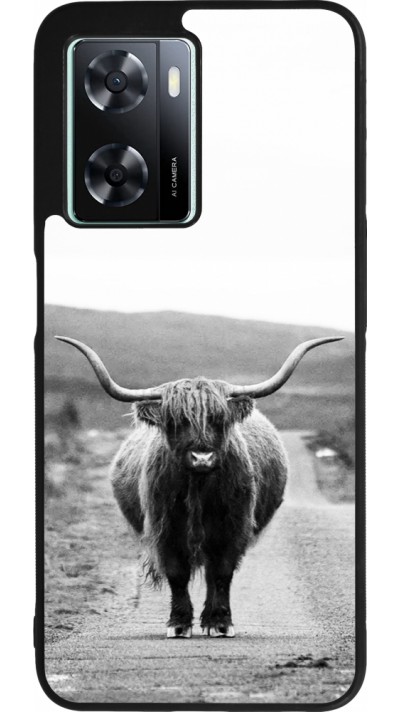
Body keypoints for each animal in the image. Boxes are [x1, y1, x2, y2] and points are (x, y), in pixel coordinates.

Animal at [55, 334, 342, 638]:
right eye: (176, 421)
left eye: (219, 419)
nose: (202, 457)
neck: (198, 488)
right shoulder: (165, 529)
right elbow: (177, 574)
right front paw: (179, 623)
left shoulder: (233, 528)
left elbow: (222, 573)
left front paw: (220, 622)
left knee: (212, 573)